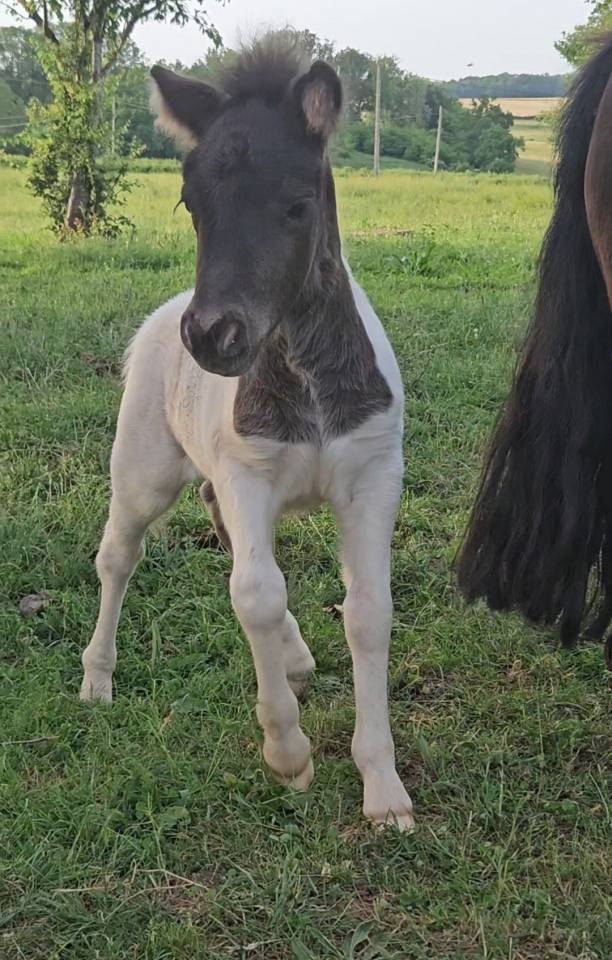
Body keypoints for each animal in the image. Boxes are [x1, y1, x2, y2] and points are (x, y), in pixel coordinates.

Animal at [80, 38, 414, 831]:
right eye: (190, 204)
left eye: (297, 205)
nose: (212, 336)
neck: (308, 380)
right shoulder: (247, 475)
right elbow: (255, 595)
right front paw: (288, 754)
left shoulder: (373, 478)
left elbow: (368, 612)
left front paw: (383, 787)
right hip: (142, 473)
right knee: (119, 557)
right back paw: (98, 678)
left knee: (220, 532)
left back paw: (293, 658)